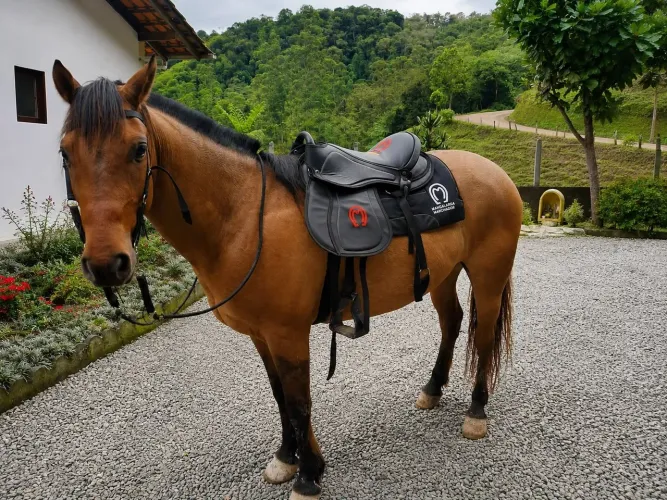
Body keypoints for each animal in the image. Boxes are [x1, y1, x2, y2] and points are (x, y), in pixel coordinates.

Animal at [52, 56, 522, 499]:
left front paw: (309, 475)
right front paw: (286, 458)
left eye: (138, 149)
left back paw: (476, 412)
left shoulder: (287, 333)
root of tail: (495, 171)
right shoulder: (262, 335)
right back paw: (433, 388)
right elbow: (280, 397)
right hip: (442, 274)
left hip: (488, 276)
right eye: (64, 153)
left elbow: (299, 402)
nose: (106, 263)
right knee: (452, 322)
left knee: (482, 335)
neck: (243, 215)